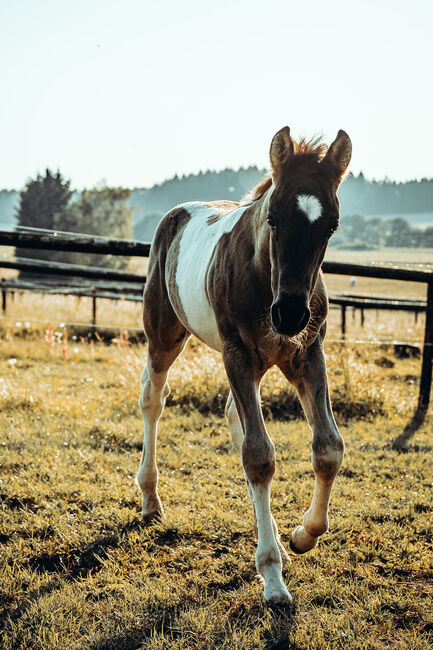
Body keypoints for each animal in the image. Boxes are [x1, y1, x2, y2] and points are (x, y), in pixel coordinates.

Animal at [138, 126, 352, 604]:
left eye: (331, 225)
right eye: (272, 218)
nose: (289, 315)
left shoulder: (308, 354)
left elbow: (328, 448)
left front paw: (301, 537)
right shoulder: (235, 352)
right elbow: (258, 457)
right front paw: (272, 578)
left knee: (234, 417)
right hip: (164, 336)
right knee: (153, 400)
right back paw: (150, 500)